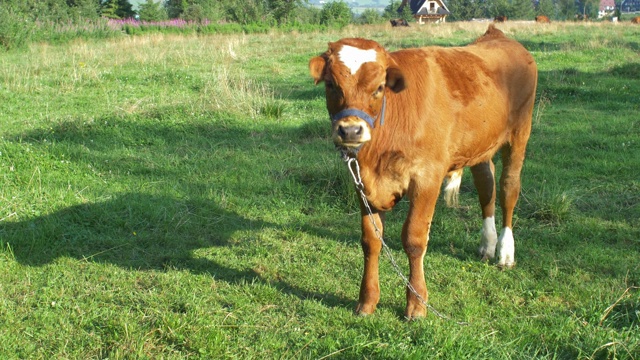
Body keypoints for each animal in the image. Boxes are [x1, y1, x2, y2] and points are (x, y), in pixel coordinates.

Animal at [308, 24, 536, 318]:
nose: (350, 130)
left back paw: (505, 251)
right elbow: (371, 240)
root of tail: (499, 36)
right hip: (480, 145)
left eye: (379, 87)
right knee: (486, 186)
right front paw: (367, 300)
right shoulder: (362, 181)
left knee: (509, 188)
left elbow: (414, 239)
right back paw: (487, 244)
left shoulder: (427, 177)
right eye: (331, 85)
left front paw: (416, 303)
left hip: (519, 134)